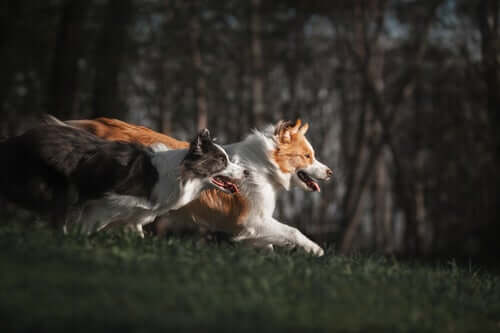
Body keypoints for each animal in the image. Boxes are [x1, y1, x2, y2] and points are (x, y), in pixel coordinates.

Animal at [0, 124, 243, 236]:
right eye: (222, 160)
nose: (246, 173)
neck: (181, 174)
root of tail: (16, 138)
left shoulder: (134, 217)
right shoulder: (102, 207)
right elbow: (86, 229)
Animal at [47, 115, 334, 255]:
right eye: (307, 156)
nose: (331, 173)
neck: (264, 165)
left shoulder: (251, 227)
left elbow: (270, 246)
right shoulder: (252, 219)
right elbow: (293, 231)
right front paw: (316, 249)